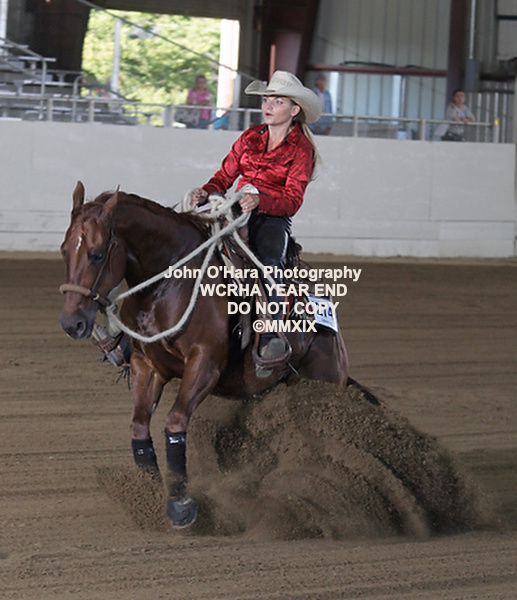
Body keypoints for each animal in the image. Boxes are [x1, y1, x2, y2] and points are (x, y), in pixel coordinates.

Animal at [59, 181, 349, 527]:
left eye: (97, 253)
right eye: (64, 250)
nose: (72, 323)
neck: (167, 285)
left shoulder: (205, 365)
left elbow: (174, 423)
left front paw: (180, 504)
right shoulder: (147, 366)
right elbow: (139, 427)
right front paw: (150, 495)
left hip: (325, 383)